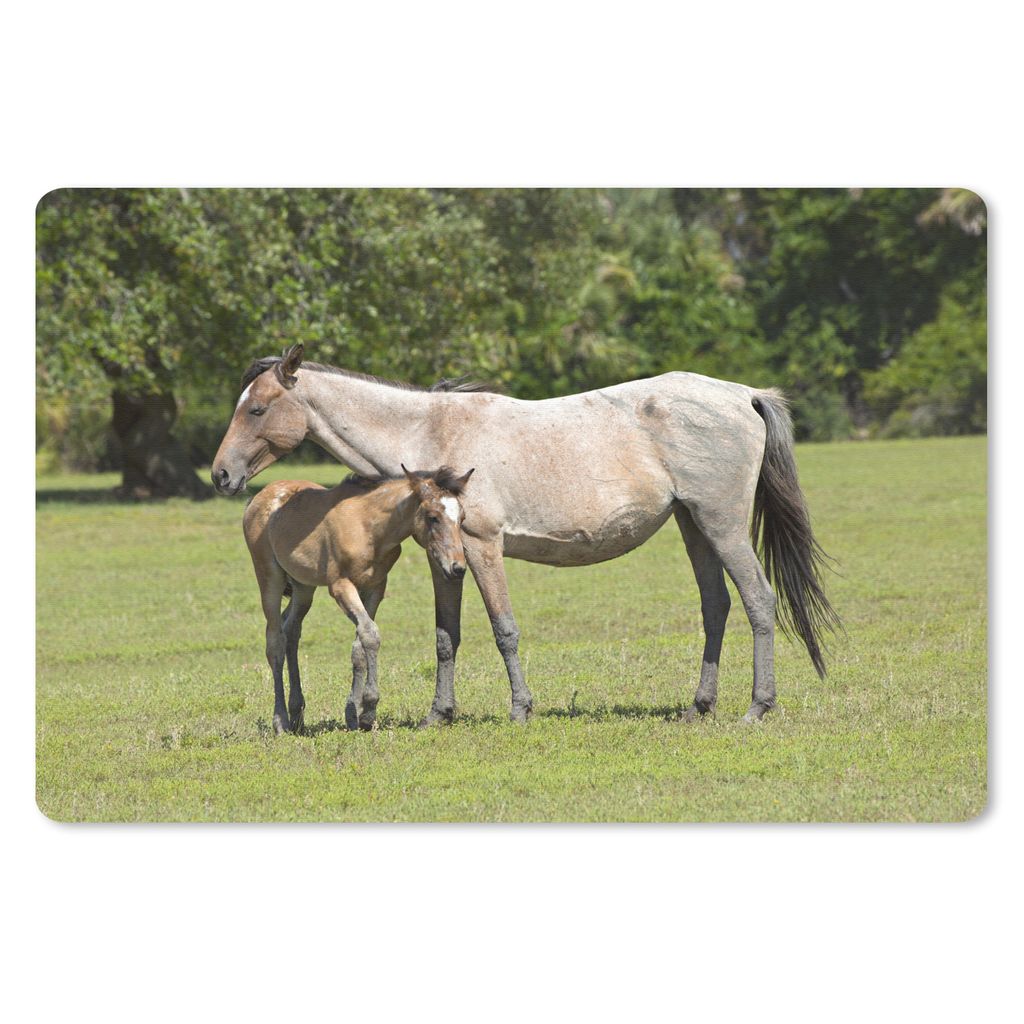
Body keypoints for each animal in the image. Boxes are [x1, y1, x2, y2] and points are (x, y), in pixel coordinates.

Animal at [243, 465, 473, 734]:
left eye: (462, 518)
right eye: (433, 517)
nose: (457, 568)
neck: (369, 528)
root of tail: (257, 498)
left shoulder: (375, 587)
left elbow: (360, 644)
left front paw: (355, 715)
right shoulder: (341, 586)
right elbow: (371, 634)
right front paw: (369, 709)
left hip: (303, 587)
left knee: (291, 631)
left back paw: (297, 714)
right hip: (269, 576)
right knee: (275, 640)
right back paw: (280, 721)